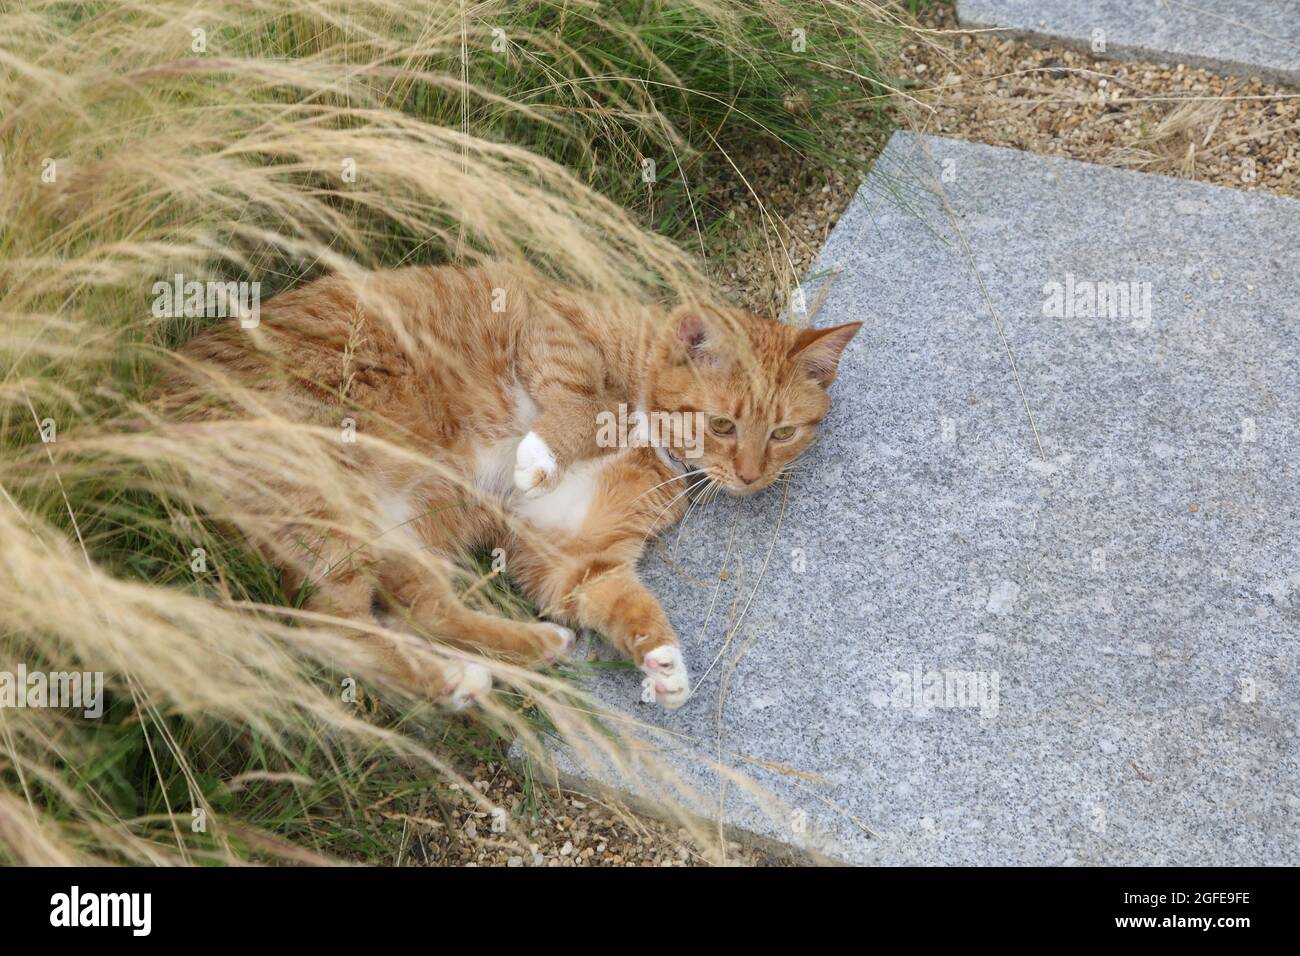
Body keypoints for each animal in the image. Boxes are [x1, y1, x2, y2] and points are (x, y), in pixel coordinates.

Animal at [167, 265, 857, 712]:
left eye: (784, 433)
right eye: (722, 425)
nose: (751, 476)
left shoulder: (572, 556)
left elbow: (622, 603)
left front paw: (663, 664)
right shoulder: (548, 327)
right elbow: (581, 402)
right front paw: (540, 452)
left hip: (400, 537)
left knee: (420, 613)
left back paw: (518, 651)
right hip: (324, 499)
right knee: (330, 632)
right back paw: (455, 681)